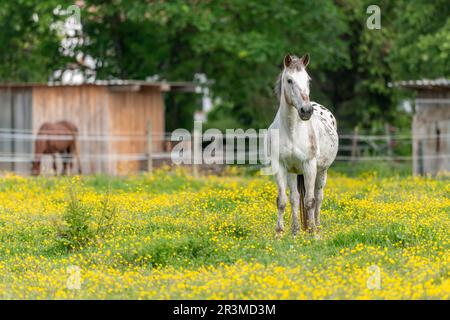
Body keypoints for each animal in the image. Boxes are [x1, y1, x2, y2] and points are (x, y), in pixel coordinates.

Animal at [268, 53, 338, 235]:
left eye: (308, 80)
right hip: (293, 172)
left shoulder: (309, 165)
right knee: (294, 198)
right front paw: (279, 232)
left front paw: (312, 232)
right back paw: (295, 230)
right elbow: (283, 200)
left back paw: (317, 226)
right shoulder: (280, 166)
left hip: (322, 171)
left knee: (318, 197)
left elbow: (310, 201)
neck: (292, 129)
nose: (306, 111)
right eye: (289, 80)